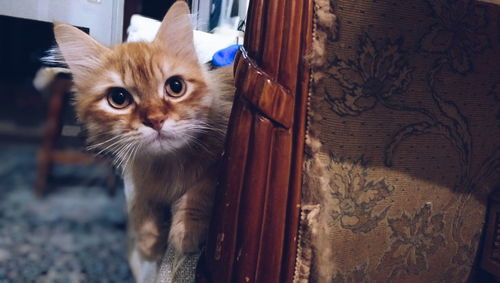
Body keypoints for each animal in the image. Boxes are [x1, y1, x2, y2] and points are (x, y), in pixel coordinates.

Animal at [52, 1, 234, 282]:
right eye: (118, 98)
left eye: (176, 87)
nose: (156, 120)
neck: (168, 163)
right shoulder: (139, 176)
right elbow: (140, 203)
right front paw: (148, 240)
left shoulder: (223, 157)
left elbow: (201, 187)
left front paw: (186, 231)